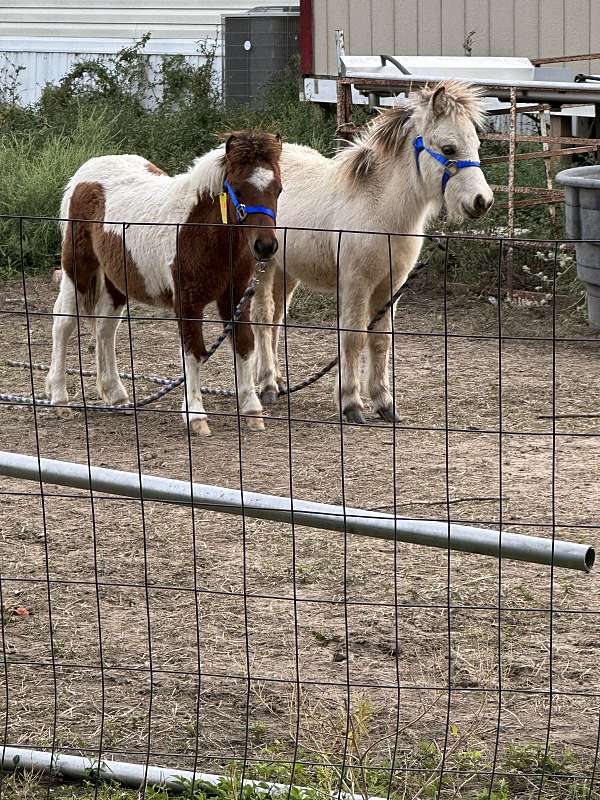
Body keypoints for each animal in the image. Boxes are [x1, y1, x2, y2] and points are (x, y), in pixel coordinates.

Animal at [45, 130, 282, 438]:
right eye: (238, 190)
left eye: (278, 189)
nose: (265, 246)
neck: (199, 231)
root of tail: (83, 174)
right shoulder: (188, 301)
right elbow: (193, 352)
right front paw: (196, 416)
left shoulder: (236, 296)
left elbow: (243, 345)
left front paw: (252, 410)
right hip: (78, 269)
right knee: (63, 322)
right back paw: (59, 398)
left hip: (116, 279)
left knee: (106, 328)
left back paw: (117, 395)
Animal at [253, 78, 492, 422]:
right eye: (448, 149)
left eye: (476, 146)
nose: (482, 201)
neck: (380, 211)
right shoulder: (356, 284)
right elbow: (353, 337)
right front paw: (351, 403)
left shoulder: (390, 286)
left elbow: (380, 340)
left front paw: (384, 403)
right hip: (262, 267)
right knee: (261, 317)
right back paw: (269, 386)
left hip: (287, 271)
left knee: (275, 319)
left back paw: (276, 381)